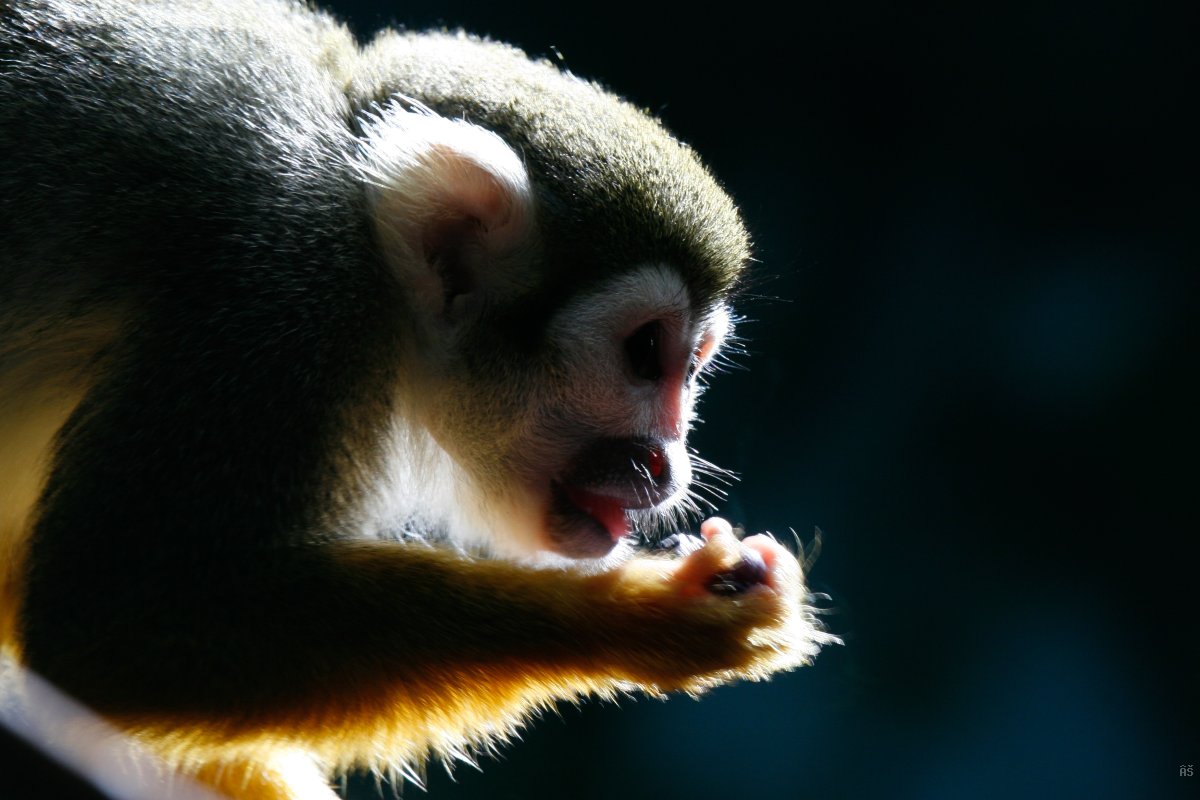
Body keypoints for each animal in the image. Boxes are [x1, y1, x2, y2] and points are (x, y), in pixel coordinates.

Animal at [0, 0, 833, 797]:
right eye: (644, 354)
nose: (668, 464)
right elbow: (111, 627)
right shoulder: (275, 295)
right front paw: (655, 613)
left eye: (690, 366)